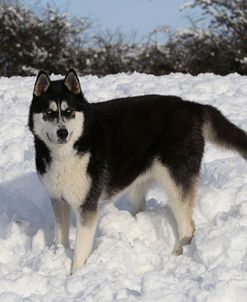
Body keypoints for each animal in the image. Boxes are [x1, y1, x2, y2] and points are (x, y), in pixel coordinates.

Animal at [29, 69, 247, 272]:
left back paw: (178, 254)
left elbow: (80, 252)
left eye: (69, 111)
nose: (62, 132)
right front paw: (58, 255)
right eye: (49, 112)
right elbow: (61, 237)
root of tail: (191, 106)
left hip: (175, 181)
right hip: (137, 181)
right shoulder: (58, 199)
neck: (67, 151)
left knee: (188, 227)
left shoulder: (87, 205)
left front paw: (76, 275)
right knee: (141, 205)